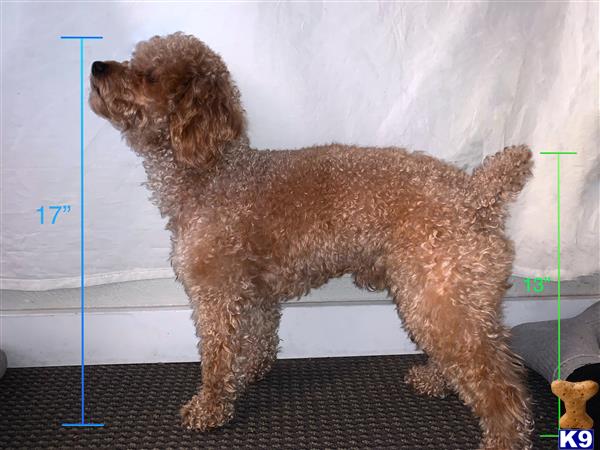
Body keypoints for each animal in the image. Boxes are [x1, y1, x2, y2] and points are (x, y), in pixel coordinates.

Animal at [90, 32, 536, 450]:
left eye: (149, 74)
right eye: (133, 58)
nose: (96, 66)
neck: (213, 172)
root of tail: (476, 193)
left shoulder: (216, 293)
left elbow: (216, 359)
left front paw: (210, 406)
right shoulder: (254, 291)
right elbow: (258, 337)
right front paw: (249, 372)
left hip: (439, 297)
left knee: (502, 386)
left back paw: (503, 437)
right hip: (447, 299)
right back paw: (433, 378)